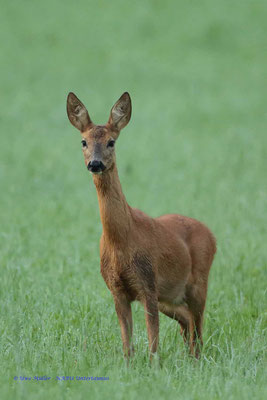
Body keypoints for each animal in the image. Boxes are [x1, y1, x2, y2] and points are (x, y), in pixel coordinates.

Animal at [67, 91, 218, 360]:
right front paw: (129, 366)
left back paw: (197, 361)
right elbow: (127, 344)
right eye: (83, 142)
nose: (95, 163)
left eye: (112, 142)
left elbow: (152, 341)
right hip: (169, 296)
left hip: (198, 281)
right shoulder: (117, 289)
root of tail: (211, 235)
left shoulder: (147, 283)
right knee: (187, 322)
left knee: (198, 329)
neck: (121, 241)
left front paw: (154, 365)